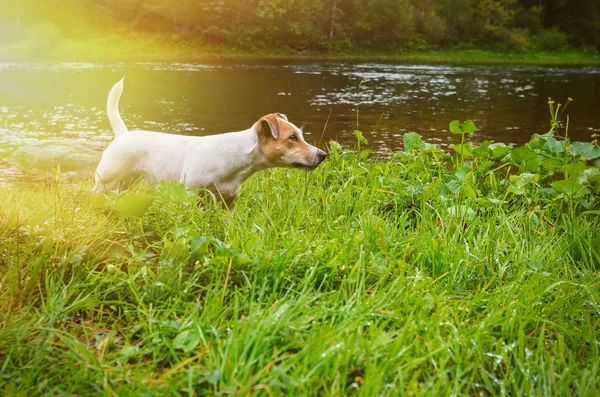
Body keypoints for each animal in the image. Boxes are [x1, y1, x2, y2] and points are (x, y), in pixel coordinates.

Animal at [94, 77, 328, 207]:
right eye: (292, 138)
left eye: (300, 135)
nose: (324, 155)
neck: (237, 158)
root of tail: (123, 134)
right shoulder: (190, 193)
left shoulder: (229, 201)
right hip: (105, 181)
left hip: (127, 183)